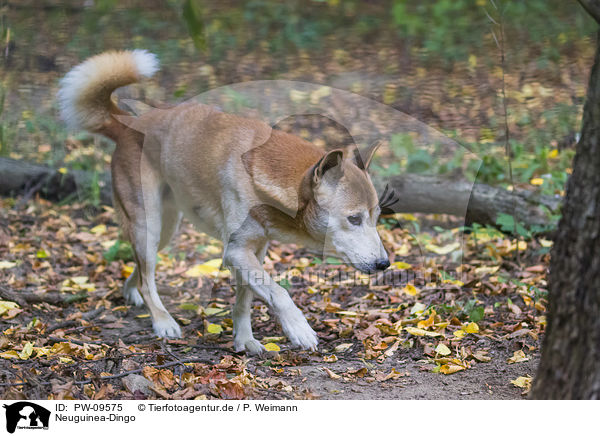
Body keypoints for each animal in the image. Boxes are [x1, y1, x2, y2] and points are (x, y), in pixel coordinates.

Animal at [58, 50, 392, 354]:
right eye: (354, 219)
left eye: (376, 217)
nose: (384, 264)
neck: (266, 180)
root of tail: (129, 125)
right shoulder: (236, 251)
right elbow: (278, 292)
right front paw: (298, 329)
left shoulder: (254, 250)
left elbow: (245, 302)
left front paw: (244, 340)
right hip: (147, 226)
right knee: (146, 277)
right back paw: (163, 321)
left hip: (165, 230)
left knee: (140, 273)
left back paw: (134, 295)